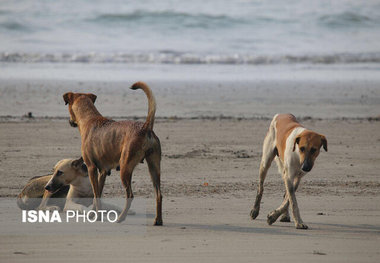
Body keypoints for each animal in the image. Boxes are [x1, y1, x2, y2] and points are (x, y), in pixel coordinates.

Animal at [63, 83, 162, 227]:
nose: (70, 122)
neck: (89, 118)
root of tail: (145, 128)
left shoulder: (91, 168)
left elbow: (95, 194)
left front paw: (97, 216)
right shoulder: (103, 172)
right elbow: (97, 195)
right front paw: (93, 214)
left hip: (125, 168)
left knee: (130, 195)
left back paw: (121, 218)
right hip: (154, 167)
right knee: (159, 194)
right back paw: (158, 220)